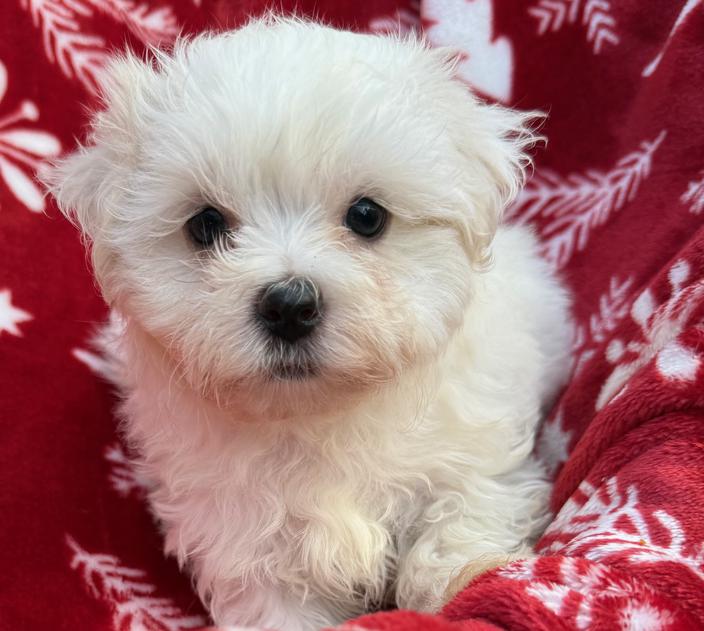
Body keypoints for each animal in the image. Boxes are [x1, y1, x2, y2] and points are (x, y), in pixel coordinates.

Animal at [45, 18, 572, 631]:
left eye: (367, 216)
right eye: (205, 225)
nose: (289, 305)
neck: (317, 418)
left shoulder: (475, 458)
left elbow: (458, 524)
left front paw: (468, 585)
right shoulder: (245, 542)